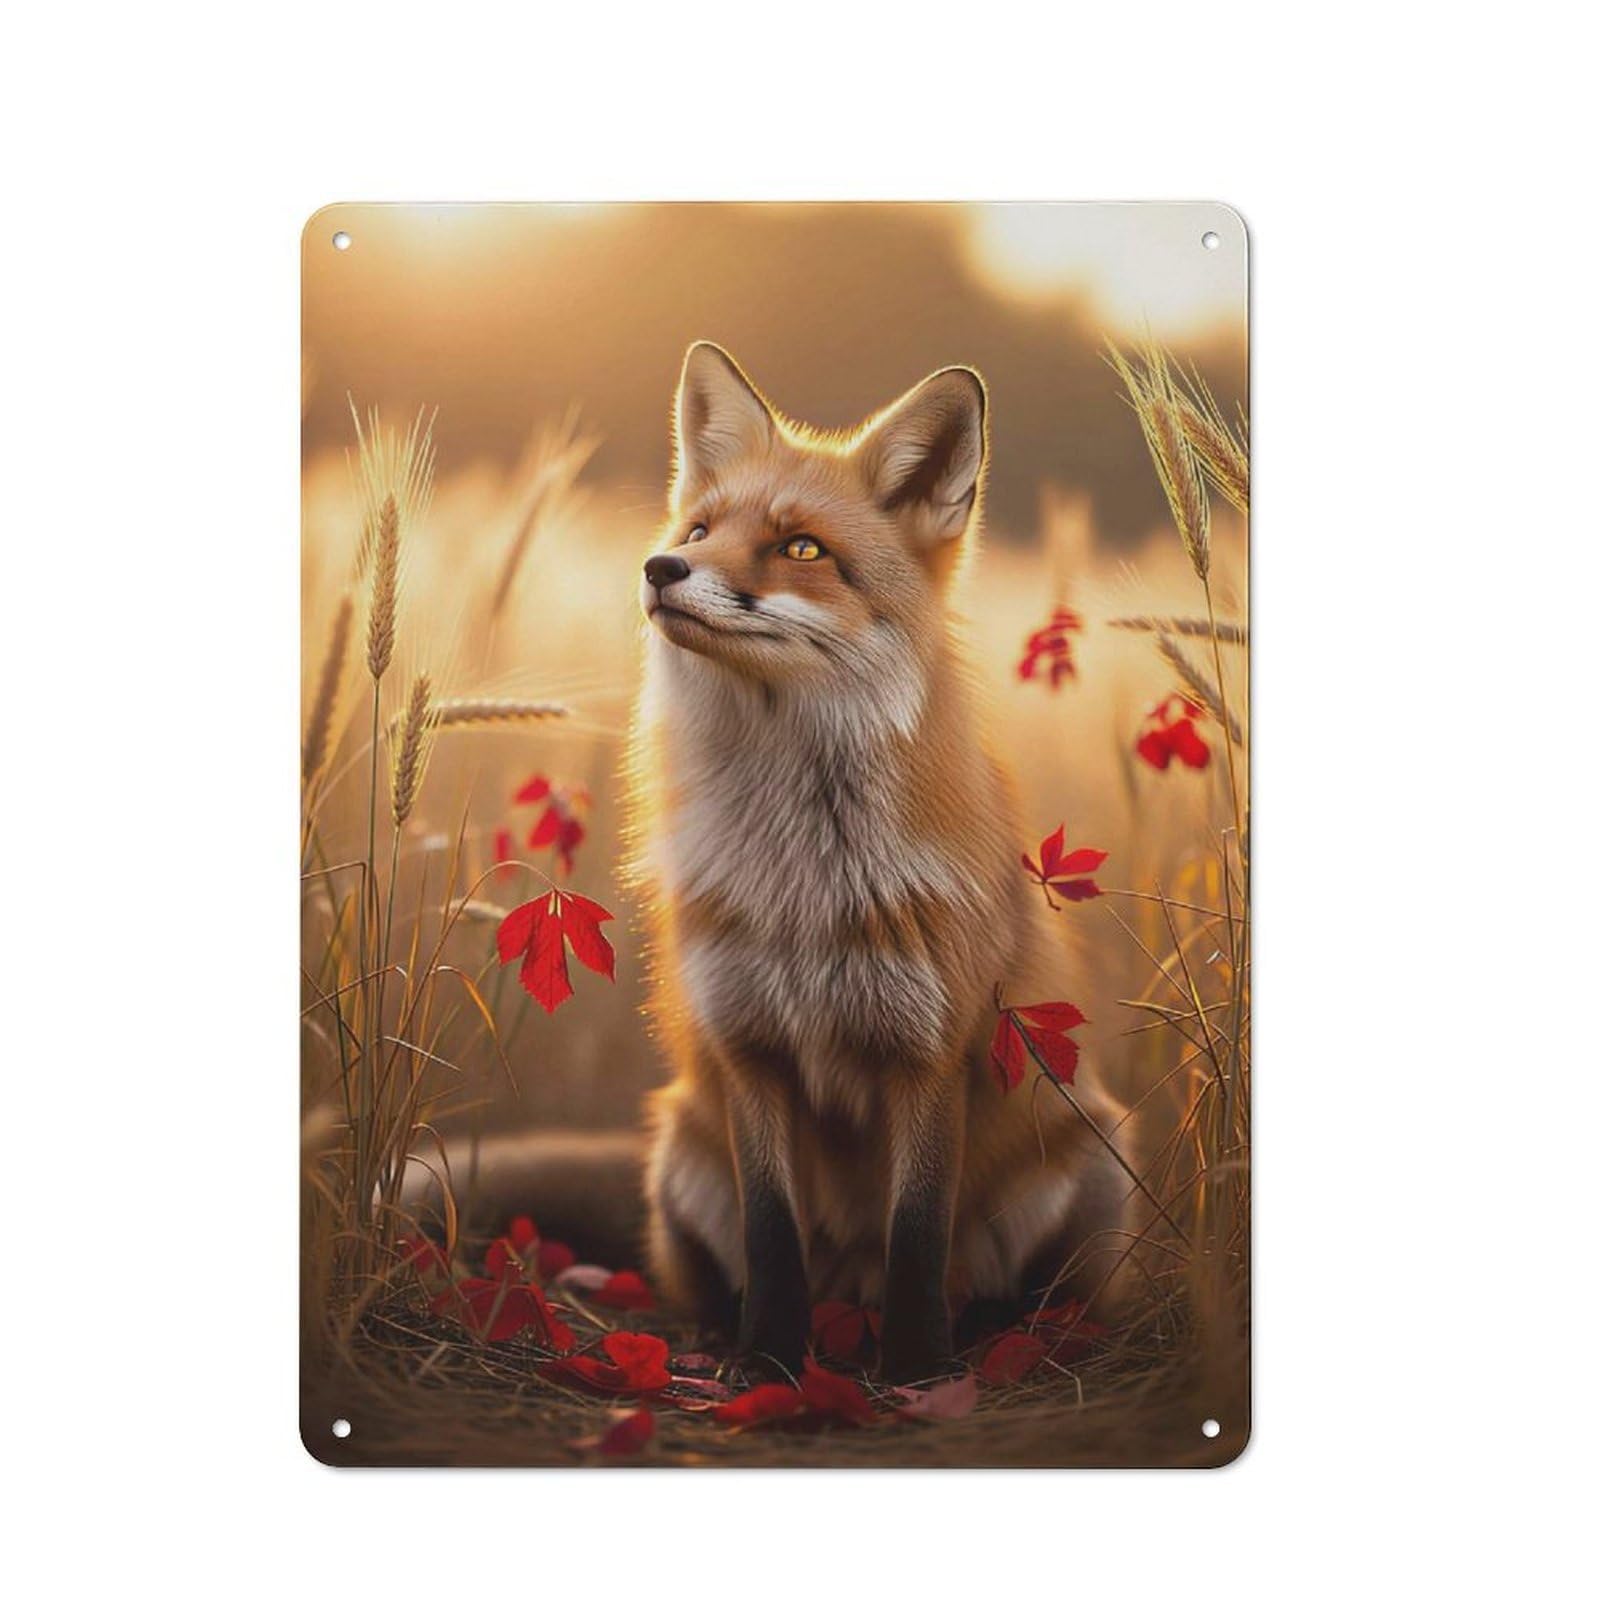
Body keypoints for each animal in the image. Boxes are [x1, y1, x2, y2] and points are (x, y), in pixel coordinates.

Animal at [630, 343, 1138, 1383]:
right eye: (699, 530)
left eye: (802, 549)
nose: (662, 568)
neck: (800, 882)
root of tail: (847, 1296)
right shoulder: (750, 1051)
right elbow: (772, 1234)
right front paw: (770, 1365)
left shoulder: (930, 1052)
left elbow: (917, 1233)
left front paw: (913, 1372)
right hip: (676, 1159)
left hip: (1095, 1161)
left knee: (1014, 1290)